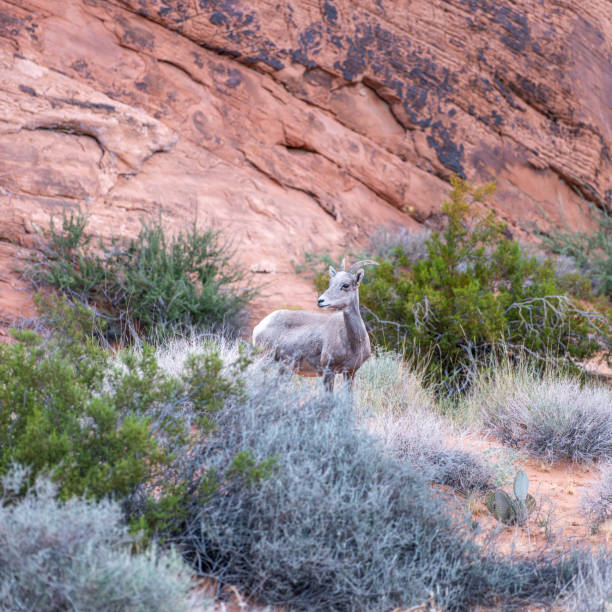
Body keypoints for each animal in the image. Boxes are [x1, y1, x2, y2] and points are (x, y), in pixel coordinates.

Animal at [250, 258, 376, 392]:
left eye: (345, 285)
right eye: (330, 283)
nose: (320, 301)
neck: (352, 342)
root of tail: (259, 326)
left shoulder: (350, 373)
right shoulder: (328, 372)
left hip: (282, 369)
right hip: (264, 360)